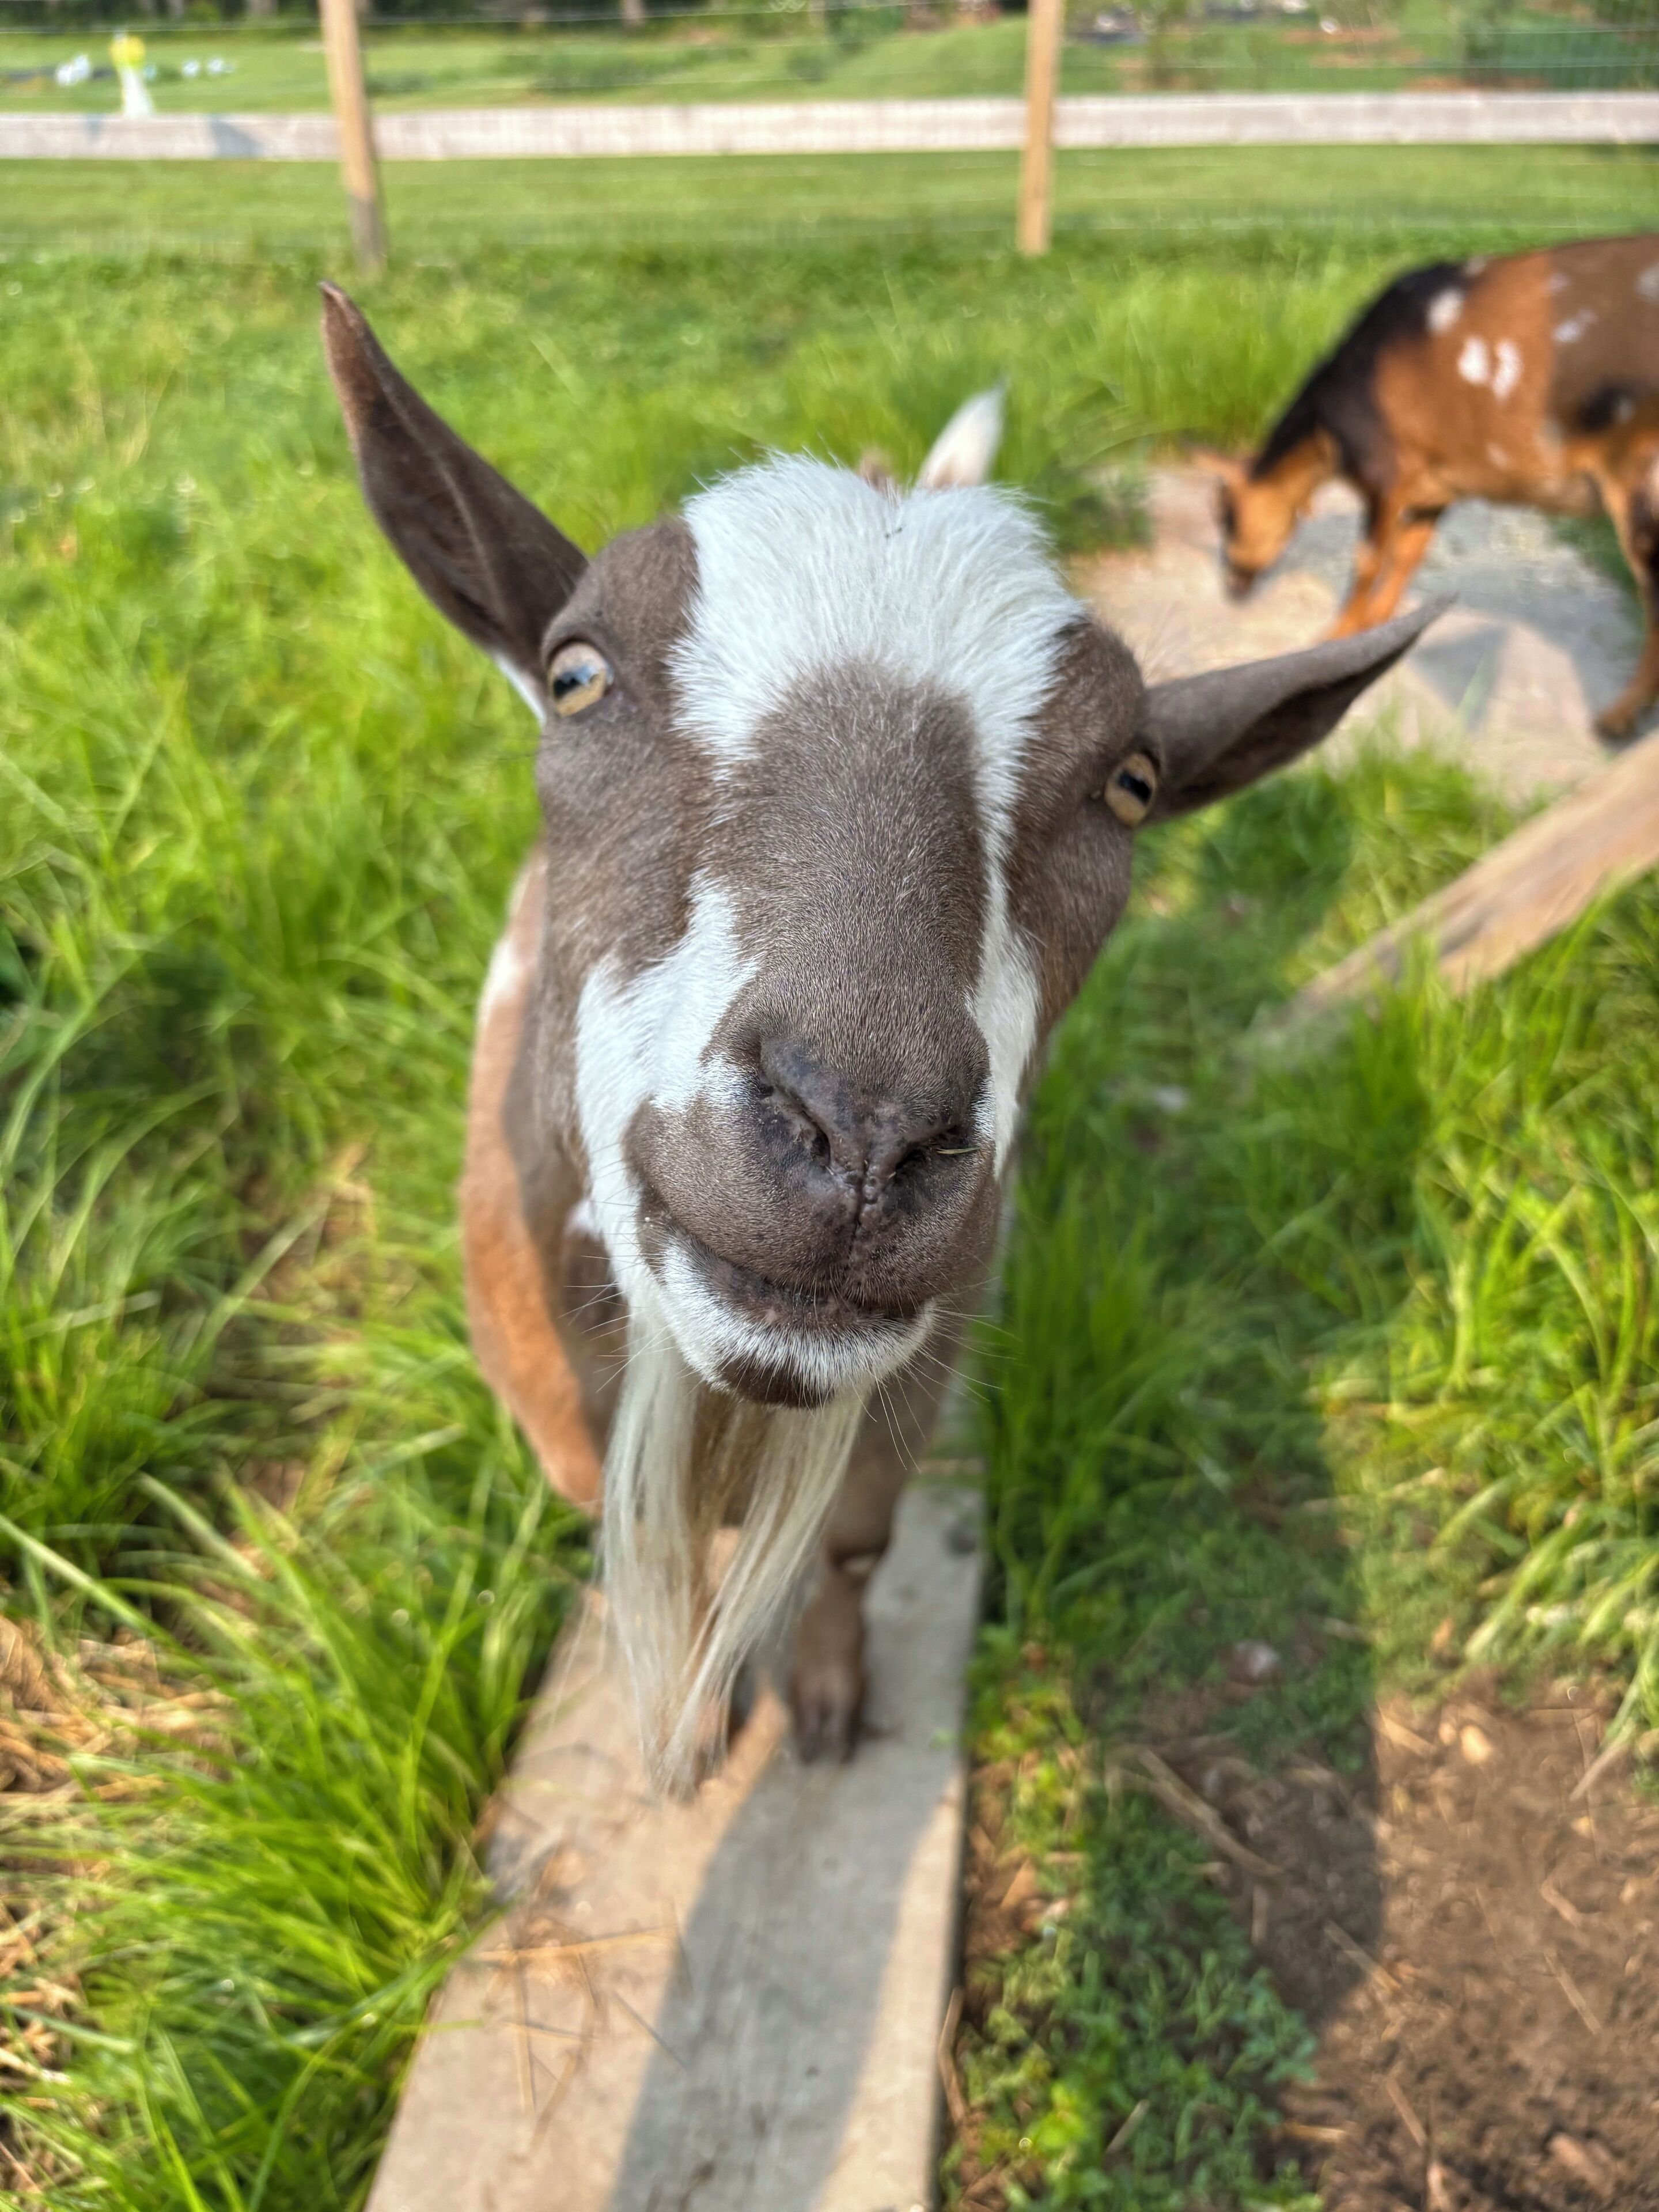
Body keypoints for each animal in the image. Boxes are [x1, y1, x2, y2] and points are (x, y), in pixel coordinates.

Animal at [321, 285, 1433, 1792]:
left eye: (1134, 782)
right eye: (576, 674)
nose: (860, 1133)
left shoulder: (919, 1370)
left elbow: (852, 1543)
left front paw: (829, 1696)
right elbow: (657, 1559)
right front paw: (694, 1729)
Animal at [1207, 233, 1659, 739]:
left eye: (1225, 514)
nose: (1233, 584)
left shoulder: (1385, 470)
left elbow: (1368, 559)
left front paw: (1334, 636)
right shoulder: (1435, 487)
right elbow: (1409, 554)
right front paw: (1378, 628)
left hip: (1641, 479)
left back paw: (1618, 718)